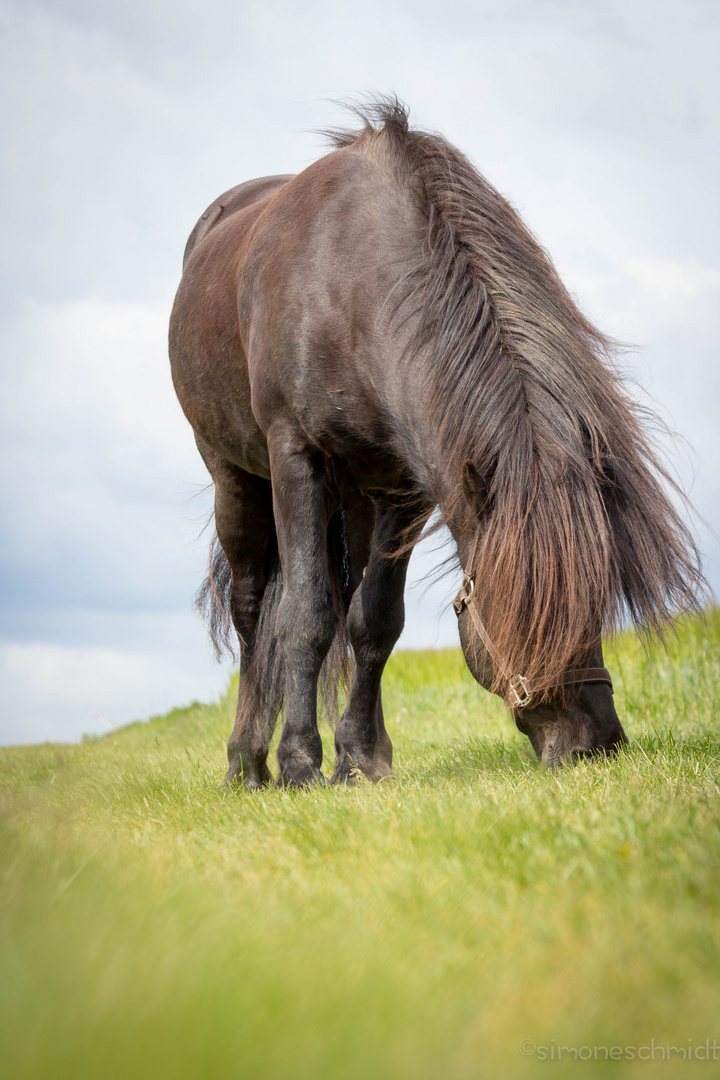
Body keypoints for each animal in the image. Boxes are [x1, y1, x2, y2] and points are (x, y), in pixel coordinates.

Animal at [167, 99, 699, 786]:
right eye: (523, 605)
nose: (598, 742)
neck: (350, 282)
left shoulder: (404, 490)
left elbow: (373, 621)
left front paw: (362, 760)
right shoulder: (296, 463)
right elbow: (305, 617)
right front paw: (300, 765)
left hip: (356, 499)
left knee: (342, 603)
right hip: (235, 479)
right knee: (255, 609)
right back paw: (248, 763)